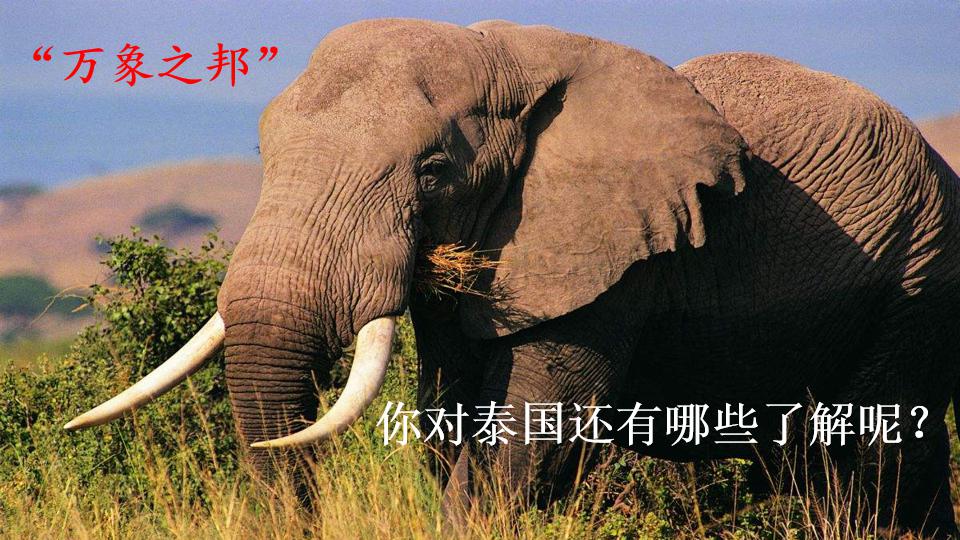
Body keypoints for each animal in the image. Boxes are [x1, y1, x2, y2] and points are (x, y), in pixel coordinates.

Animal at [64, 19, 960, 536]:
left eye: (432, 172)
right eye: (261, 151)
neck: (512, 55)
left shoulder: (614, 254)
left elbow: (531, 424)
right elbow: (446, 418)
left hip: (920, 274)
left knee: (876, 462)